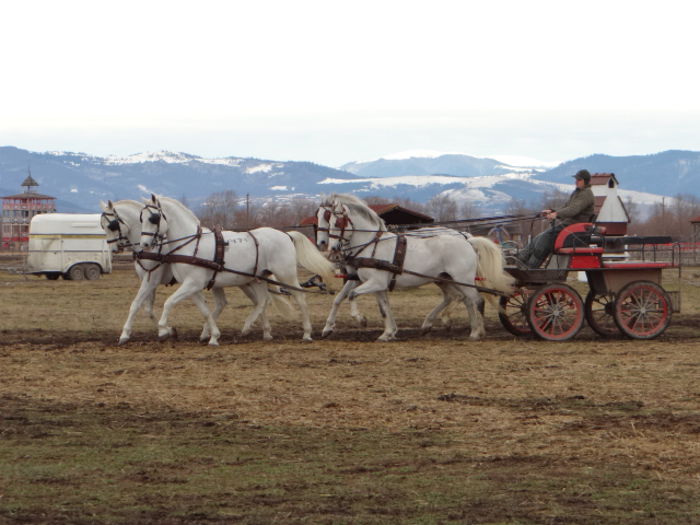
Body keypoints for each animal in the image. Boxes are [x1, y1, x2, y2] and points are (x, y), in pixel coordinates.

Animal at [139, 193, 336, 344]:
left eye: (154, 218)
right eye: (141, 218)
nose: (144, 244)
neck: (192, 245)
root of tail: (286, 235)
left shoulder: (193, 284)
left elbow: (169, 302)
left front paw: (164, 329)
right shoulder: (193, 287)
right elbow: (205, 311)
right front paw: (213, 336)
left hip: (285, 274)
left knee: (300, 298)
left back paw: (307, 333)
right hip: (258, 277)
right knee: (263, 300)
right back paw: (255, 329)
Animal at [324, 193, 516, 340]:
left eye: (338, 223)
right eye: (328, 222)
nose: (332, 249)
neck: (372, 245)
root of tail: (468, 241)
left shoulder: (376, 283)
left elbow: (352, 295)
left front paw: (361, 319)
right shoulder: (377, 285)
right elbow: (383, 308)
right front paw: (387, 333)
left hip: (463, 279)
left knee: (477, 301)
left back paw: (477, 332)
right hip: (445, 279)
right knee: (461, 299)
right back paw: (446, 326)